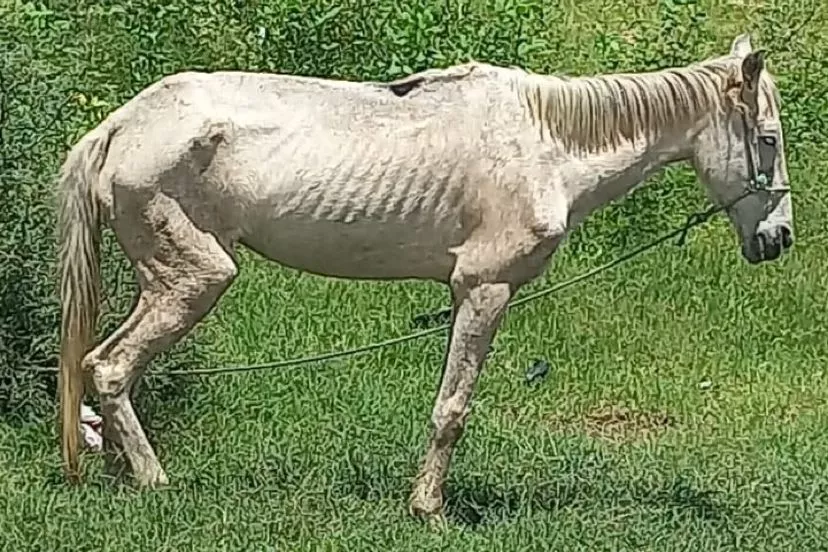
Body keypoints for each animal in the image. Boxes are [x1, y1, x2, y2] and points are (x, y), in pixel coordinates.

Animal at [55, 33, 793, 522]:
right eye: (768, 140)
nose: (778, 239)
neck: (547, 146)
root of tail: (118, 127)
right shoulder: (484, 291)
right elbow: (452, 408)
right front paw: (428, 507)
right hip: (194, 279)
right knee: (112, 367)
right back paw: (155, 481)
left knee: (100, 368)